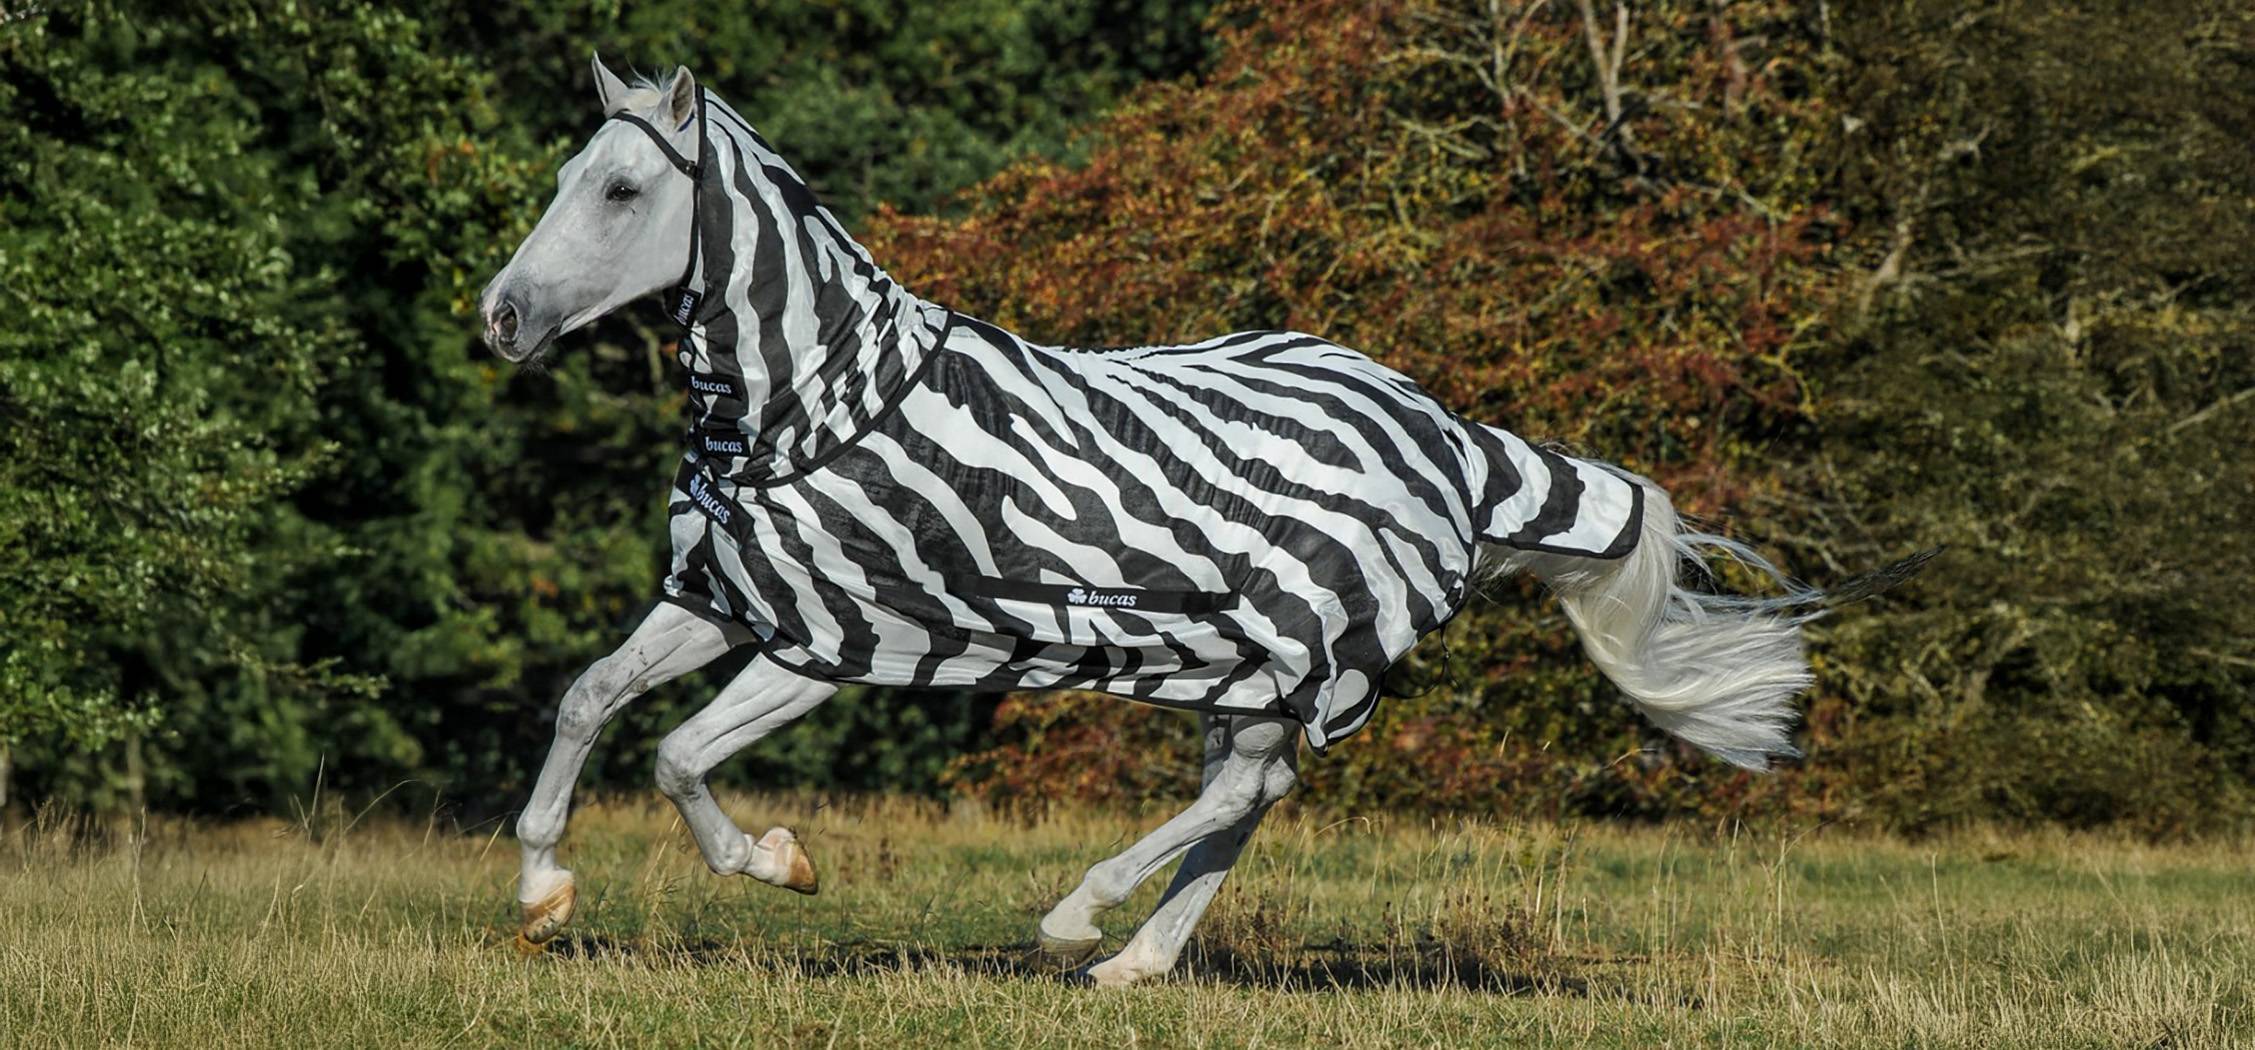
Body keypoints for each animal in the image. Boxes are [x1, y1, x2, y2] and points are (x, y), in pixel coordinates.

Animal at [477, 58, 1831, 987]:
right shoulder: (721, 600)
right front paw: (543, 891)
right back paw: (1131, 963)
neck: (811, 404)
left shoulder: (839, 637)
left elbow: (675, 756)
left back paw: (1078, 919)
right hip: (1245, 664)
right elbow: (589, 702)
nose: (500, 317)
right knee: (1250, 792)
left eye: (621, 188)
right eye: (562, 178)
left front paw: (778, 862)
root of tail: (1450, 437)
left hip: (1306, 647)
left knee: (1245, 792)